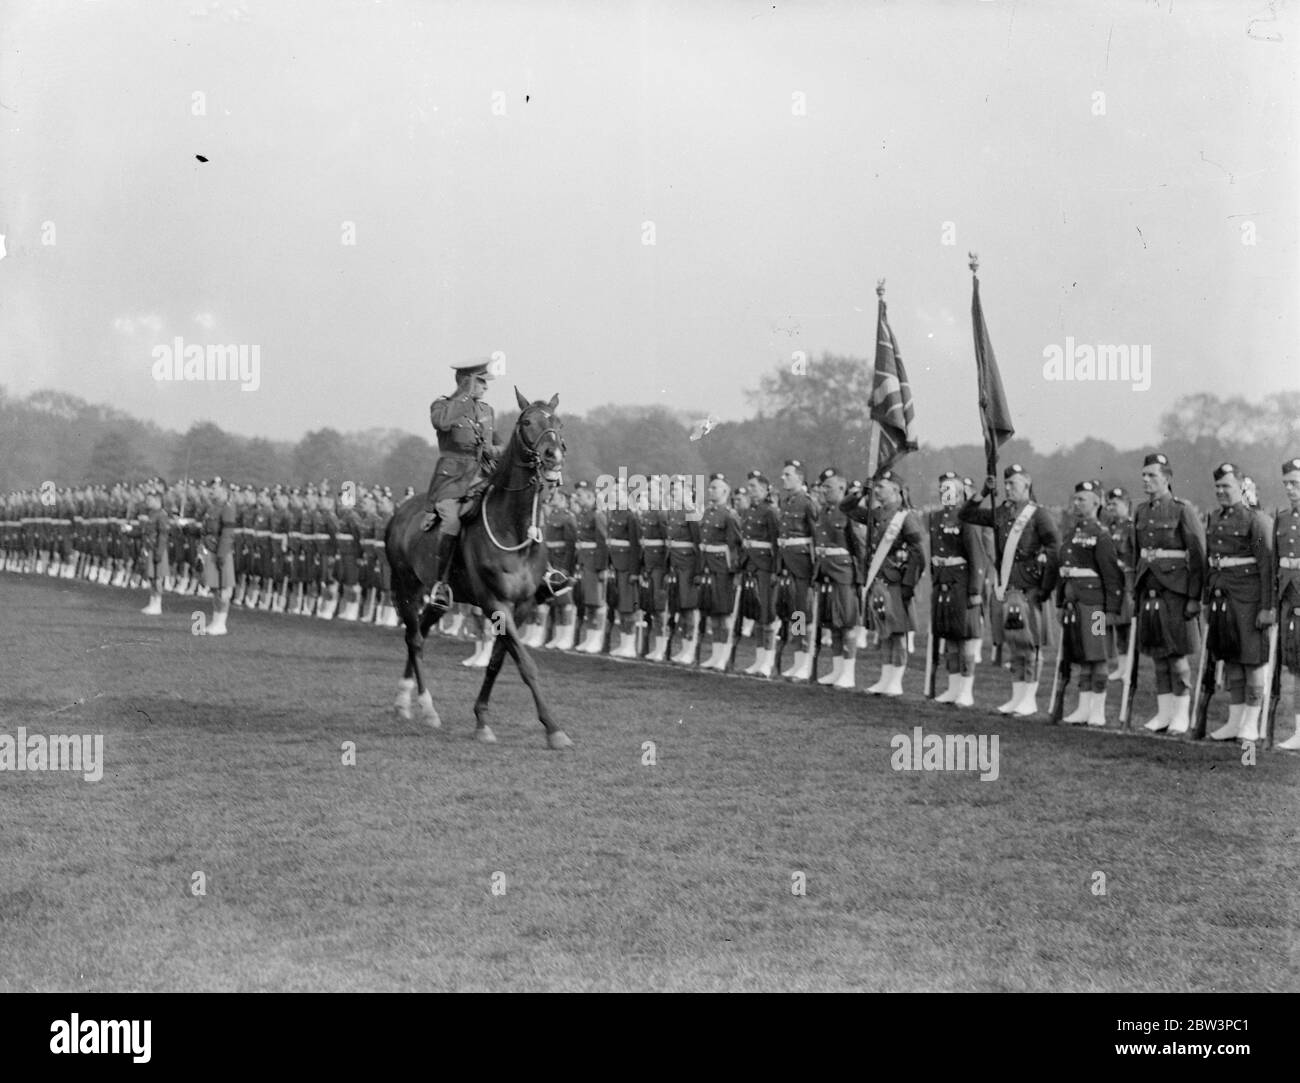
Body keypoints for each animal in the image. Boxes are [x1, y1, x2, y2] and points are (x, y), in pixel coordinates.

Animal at [382, 384, 572, 748]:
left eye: (557, 422)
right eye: (527, 422)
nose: (553, 456)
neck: (512, 526)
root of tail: (400, 512)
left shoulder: (521, 607)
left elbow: (497, 662)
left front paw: (481, 719)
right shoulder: (496, 603)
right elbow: (526, 664)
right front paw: (554, 728)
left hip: (441, 598)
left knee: (421, 633)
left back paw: (402, 700)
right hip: (405, 585)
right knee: (414, 638)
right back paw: (425, 707)